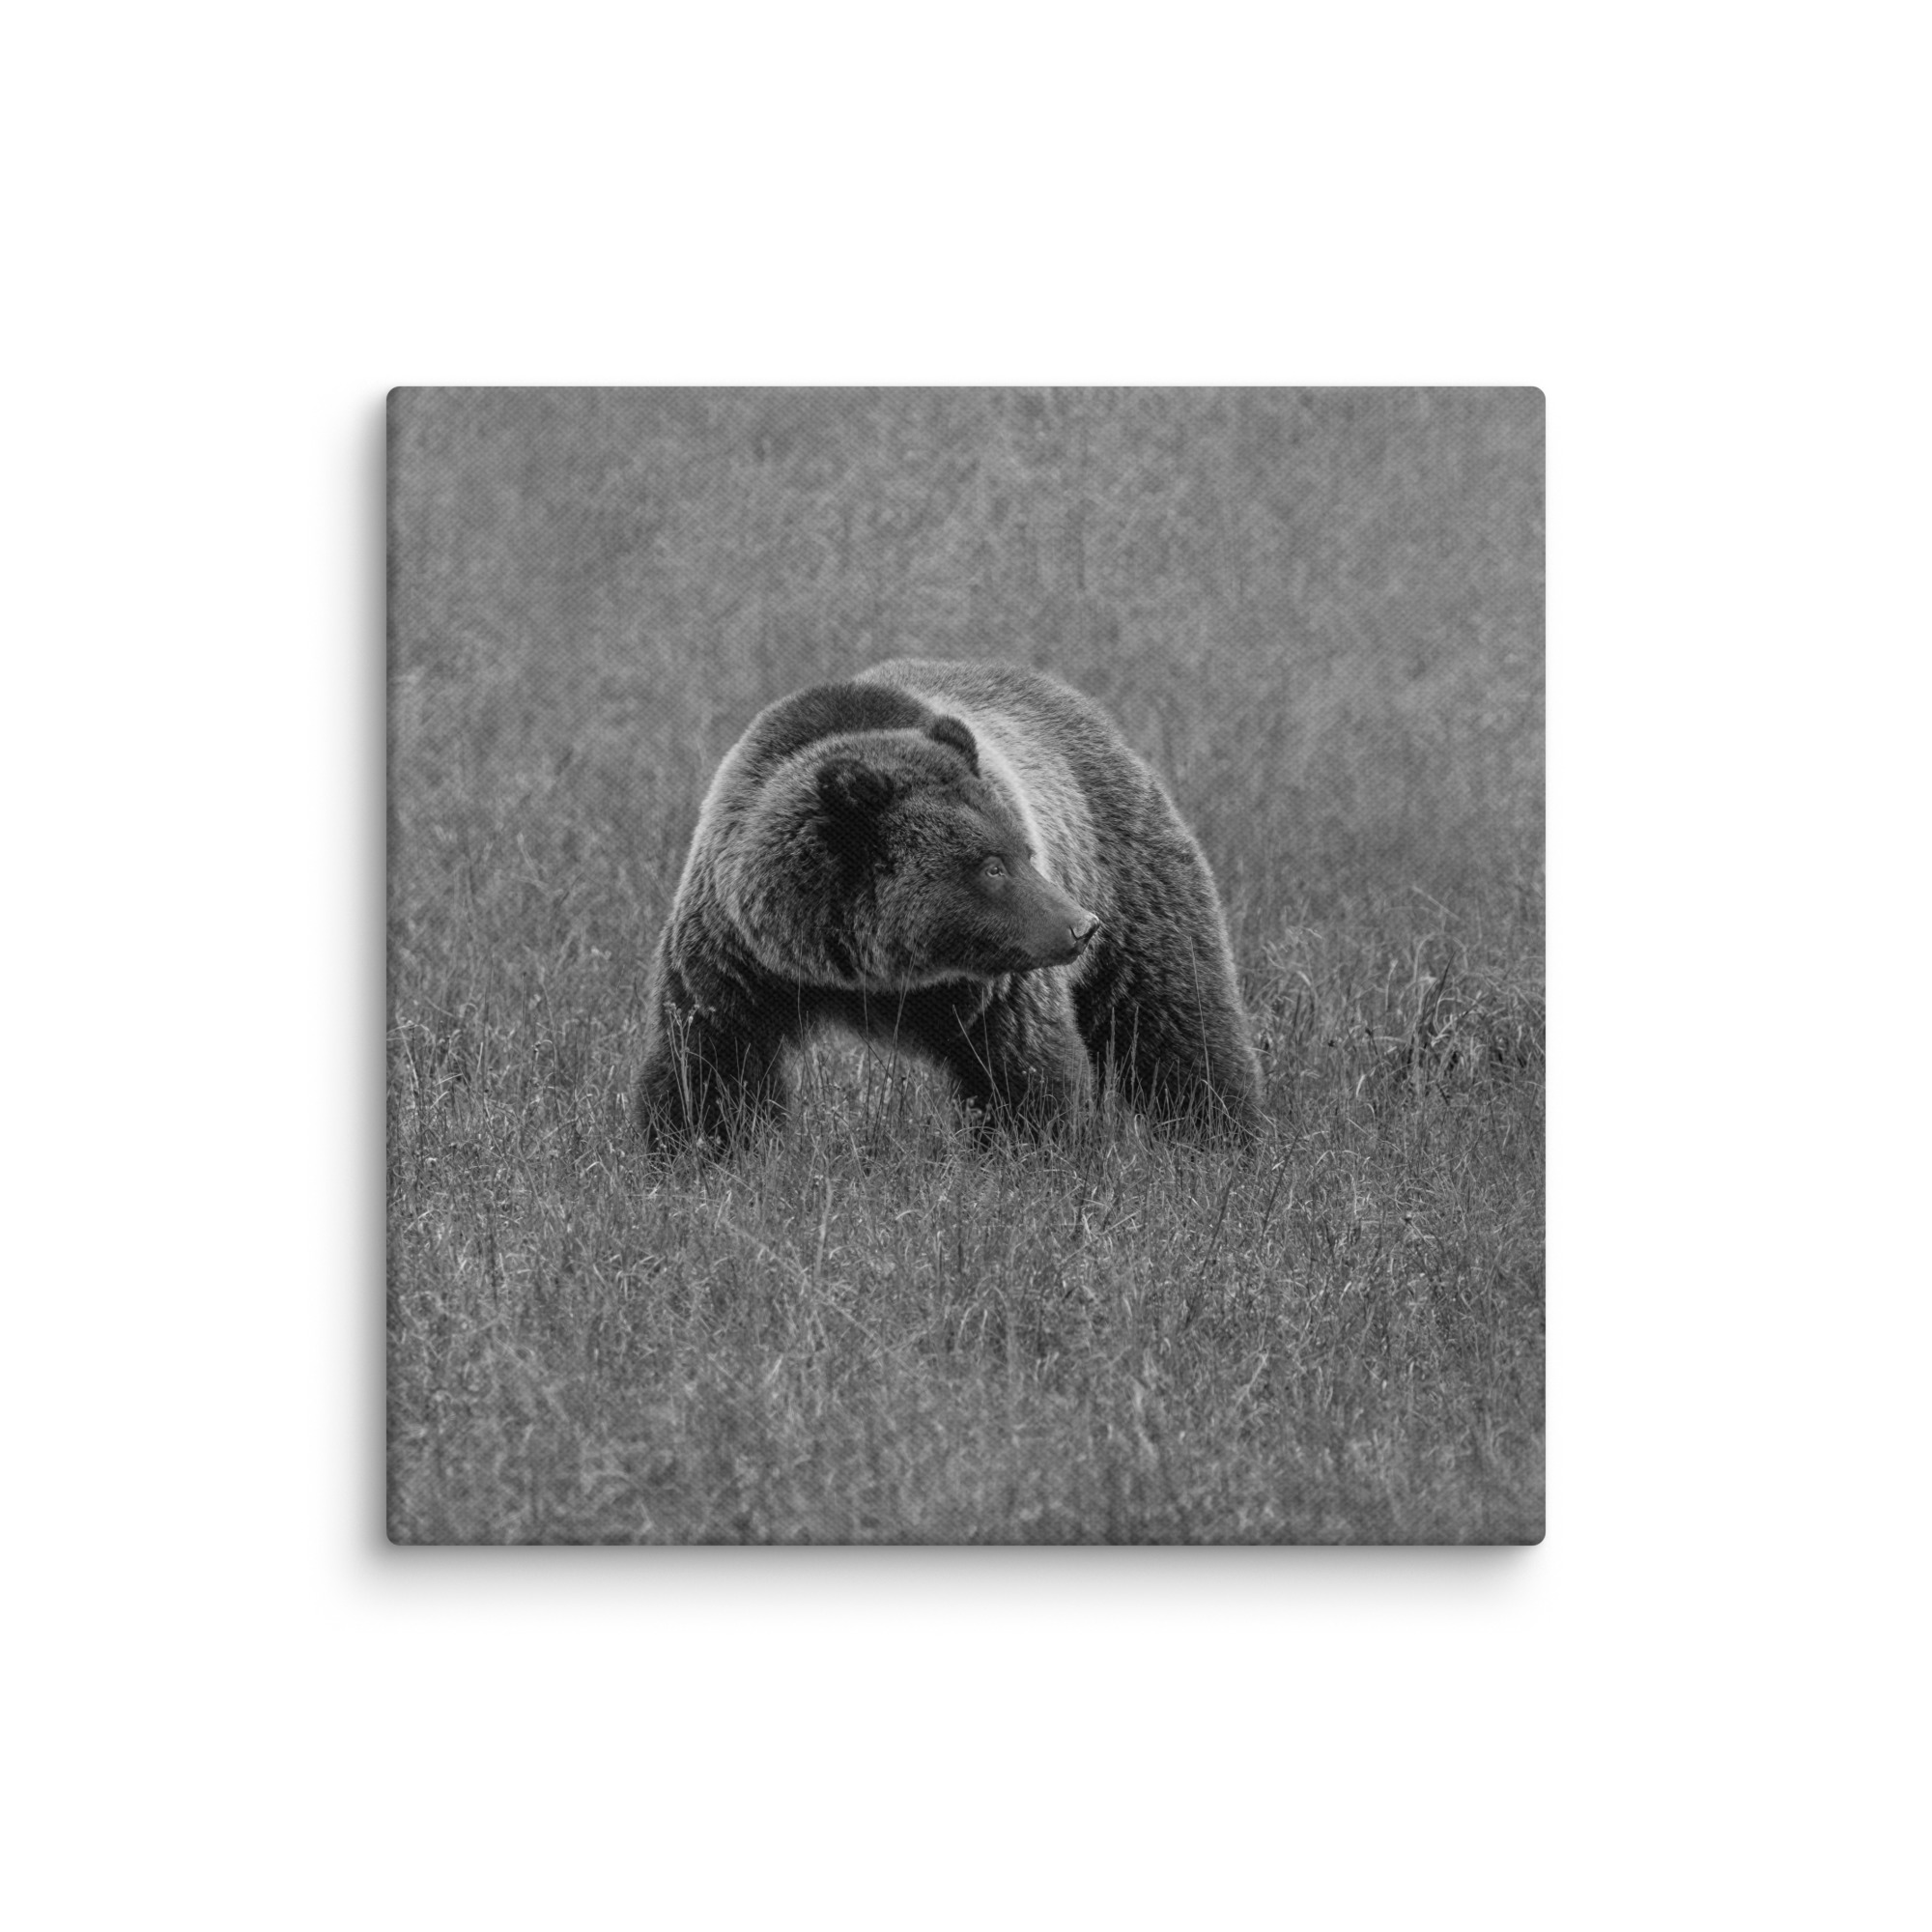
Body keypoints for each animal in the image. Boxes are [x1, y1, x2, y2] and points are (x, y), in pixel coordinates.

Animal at [634, 659, 1263, 1152]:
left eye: (1024, 850)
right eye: (991, 865)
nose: (1081, 927)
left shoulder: (994, 987)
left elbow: (1024, 1071)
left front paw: (1037, 1154)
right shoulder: (738, 960)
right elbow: (710, 1067)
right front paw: (694, 1153)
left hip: (1129, 875)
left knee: (1174, 1017)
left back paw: (1223, 1137)